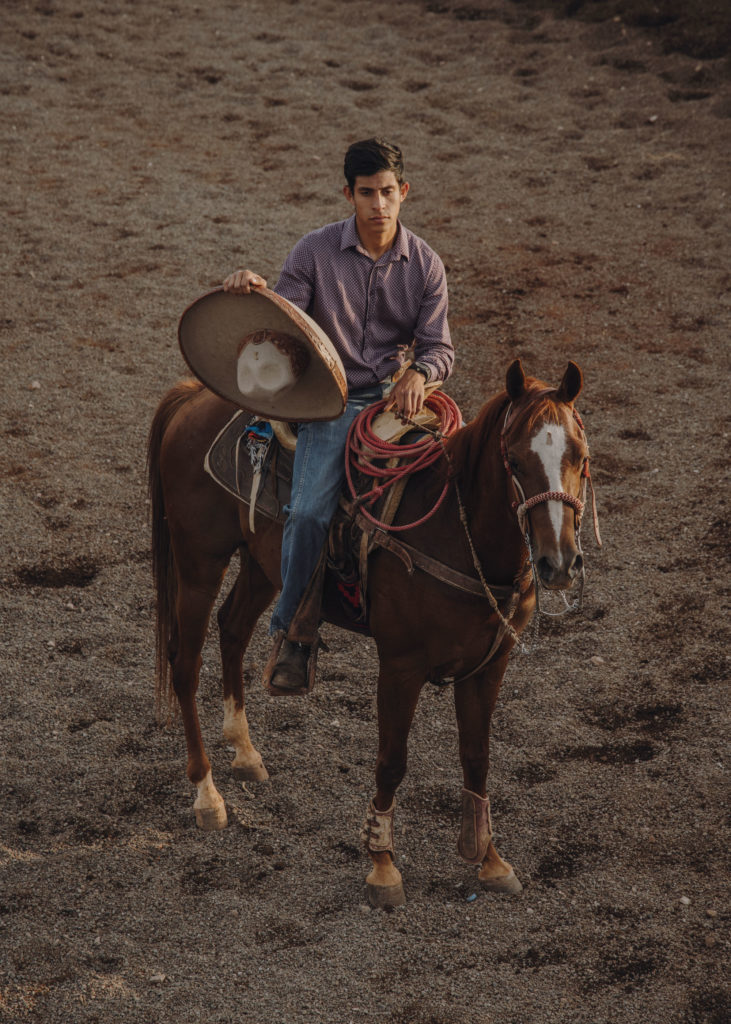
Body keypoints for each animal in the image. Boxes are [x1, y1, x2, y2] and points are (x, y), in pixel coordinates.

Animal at [146, 358, 593, 905]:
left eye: (580, 456)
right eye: (513, 460)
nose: (558, 563)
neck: (455, 531)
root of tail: (192, 396)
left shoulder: (489, 665)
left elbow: (477, 757)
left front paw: (488, 859)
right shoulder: (400, 665)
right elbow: (391, 760)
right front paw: (382, 866)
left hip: (262, 563)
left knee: (232, 629)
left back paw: (246, 753)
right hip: (198, 563)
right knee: (185, 664)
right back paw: (207, 796)